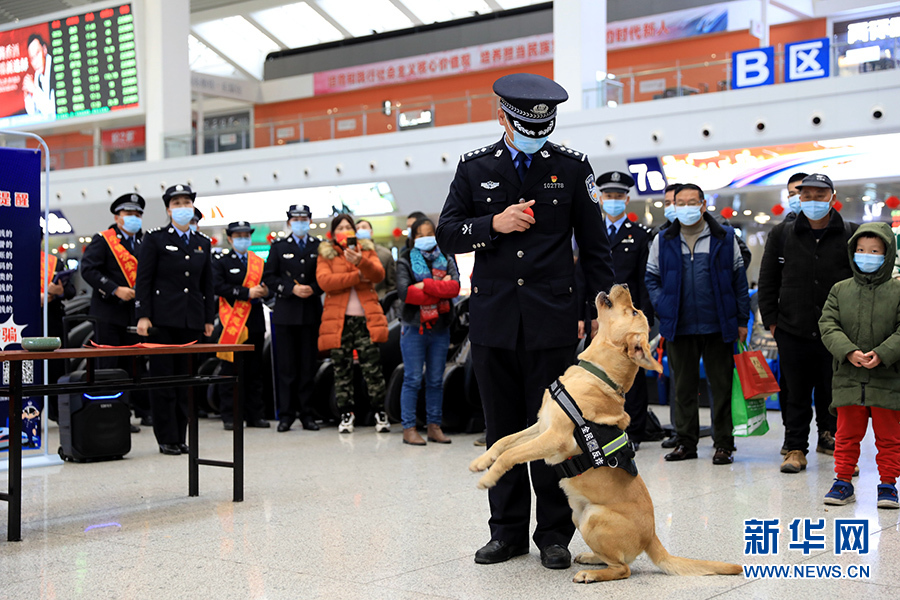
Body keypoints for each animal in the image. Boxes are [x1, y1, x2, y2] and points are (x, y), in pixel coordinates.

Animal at [472, 284, 740, 580]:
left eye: (634, 311)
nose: (624, 285)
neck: (597, 373)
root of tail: (652, 538)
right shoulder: (541, 426)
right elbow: (504, 441)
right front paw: (482, 462)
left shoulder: (554, 437)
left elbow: (512, 455)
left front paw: (488, 478)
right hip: (579, 515)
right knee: (614, 561)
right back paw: (591, 558)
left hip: (594, 517)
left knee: (623, 568)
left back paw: (591, 574)